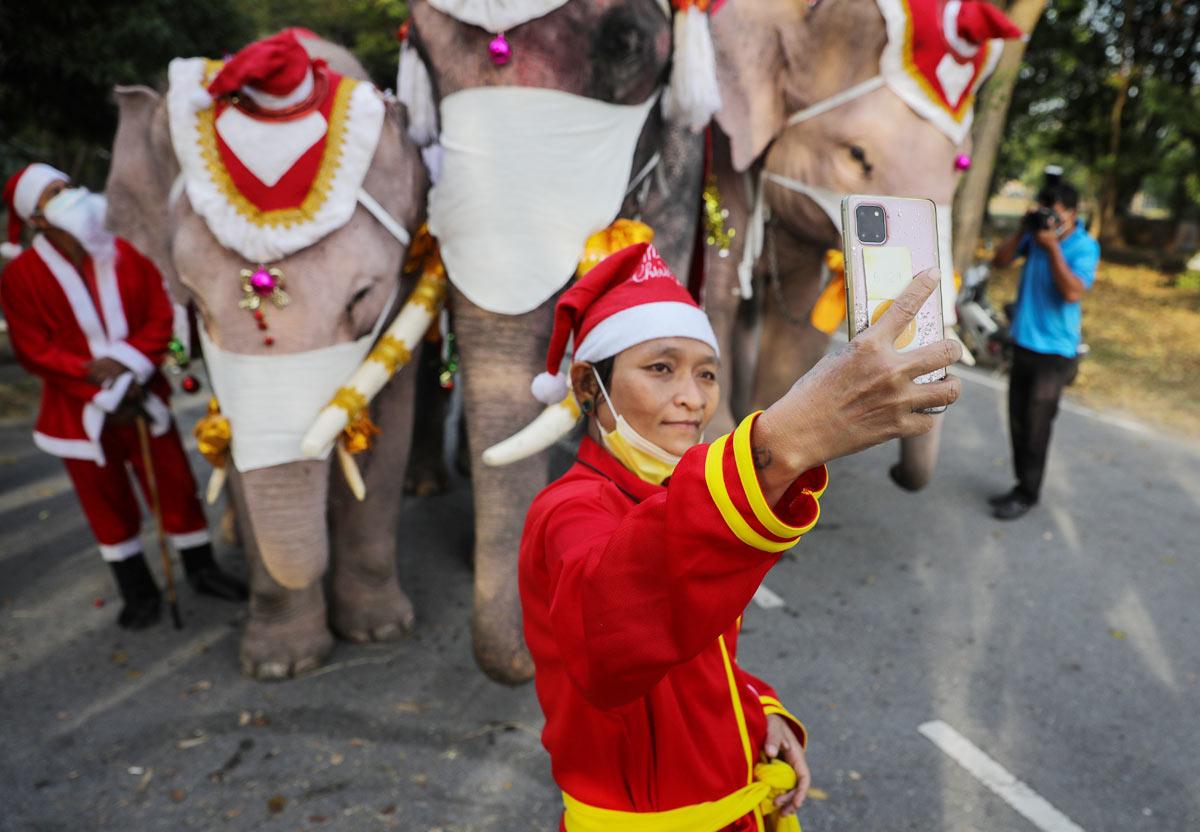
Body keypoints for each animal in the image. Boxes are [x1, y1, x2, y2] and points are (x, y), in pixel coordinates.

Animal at [104, 34, 432, 681]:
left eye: (362, 297)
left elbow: (388, 429)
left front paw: (380, 631)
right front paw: (280, 667)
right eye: (196, 303)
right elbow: (239, 444)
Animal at [700, 0, 1017, 489]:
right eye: (857, 156)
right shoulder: (723, 156)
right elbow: (713, 298)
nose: (897, 472)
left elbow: (796, 330)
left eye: (962, 164)